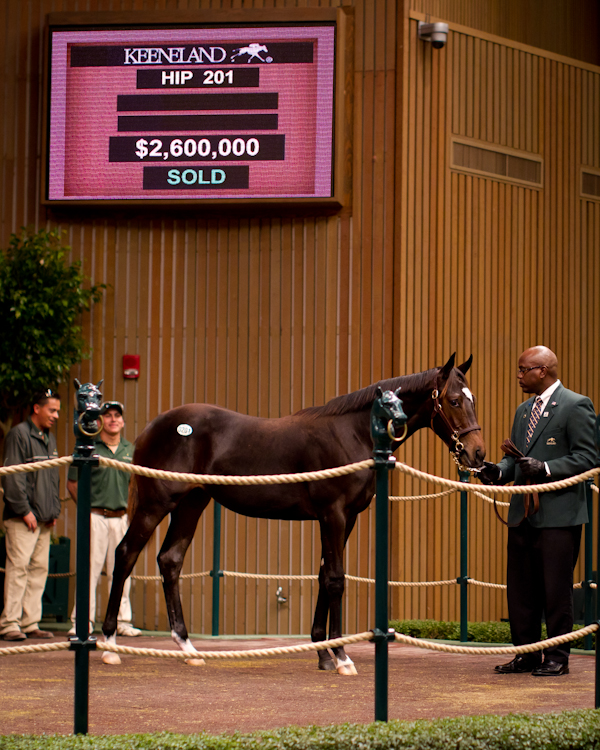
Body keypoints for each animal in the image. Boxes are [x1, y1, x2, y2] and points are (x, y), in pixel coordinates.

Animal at [101, 354, 485, 673]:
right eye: (453, 400)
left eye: (472, 399)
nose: (478, 454)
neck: (353, 433)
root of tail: (153, 427)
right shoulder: (333, 515)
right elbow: (336, 579)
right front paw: (342, 657)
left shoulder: (345, 519)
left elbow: (324, 575)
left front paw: (323, 653)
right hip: (156, 504)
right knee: (126, 554)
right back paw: (108, 645)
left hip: (191, 504)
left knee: (170, 561)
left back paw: (188, 648)